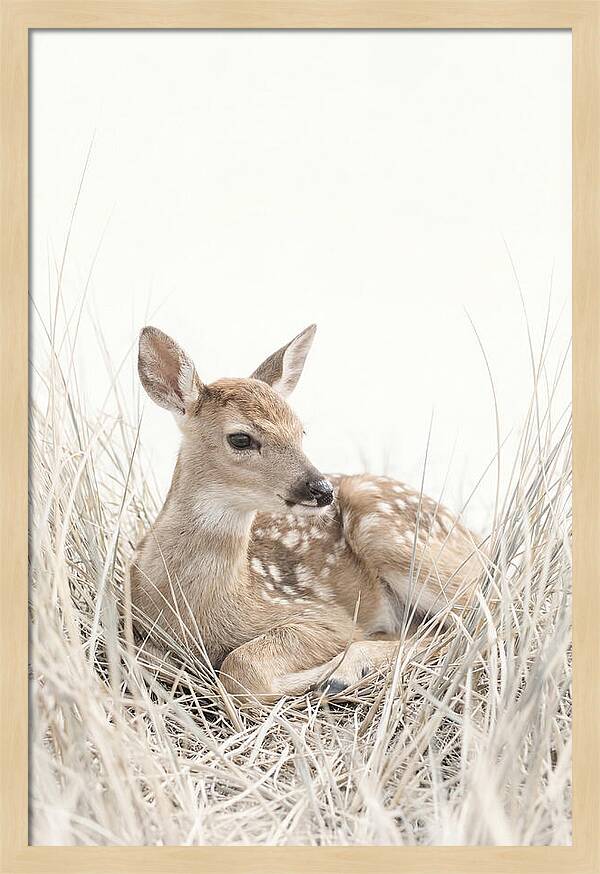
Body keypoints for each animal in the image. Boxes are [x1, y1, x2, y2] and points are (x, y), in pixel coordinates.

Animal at [131, 324, 484, 702]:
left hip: (391, 534)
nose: (321, 488)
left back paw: (343, 673)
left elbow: (243, 669)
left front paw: (319, 675)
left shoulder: (323, 615)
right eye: (240, 438)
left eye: (301, 430)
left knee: (477, 619)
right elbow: (148, 659)